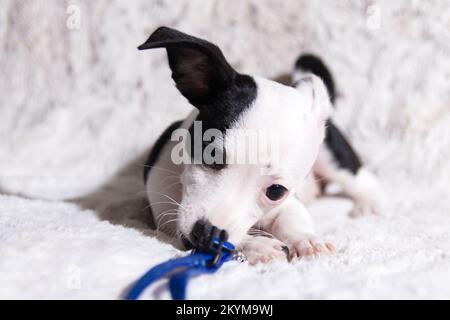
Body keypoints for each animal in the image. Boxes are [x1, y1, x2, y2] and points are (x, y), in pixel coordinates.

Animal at [140, 27, 384, 264]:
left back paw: (372, 201)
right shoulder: (171, 219)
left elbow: (291, 218)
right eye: (211, 156)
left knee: (358, 177)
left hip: (331, 154)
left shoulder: (286, 203)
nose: (208, 233)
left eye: (276, 191)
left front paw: (306, 239)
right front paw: (256, 245)